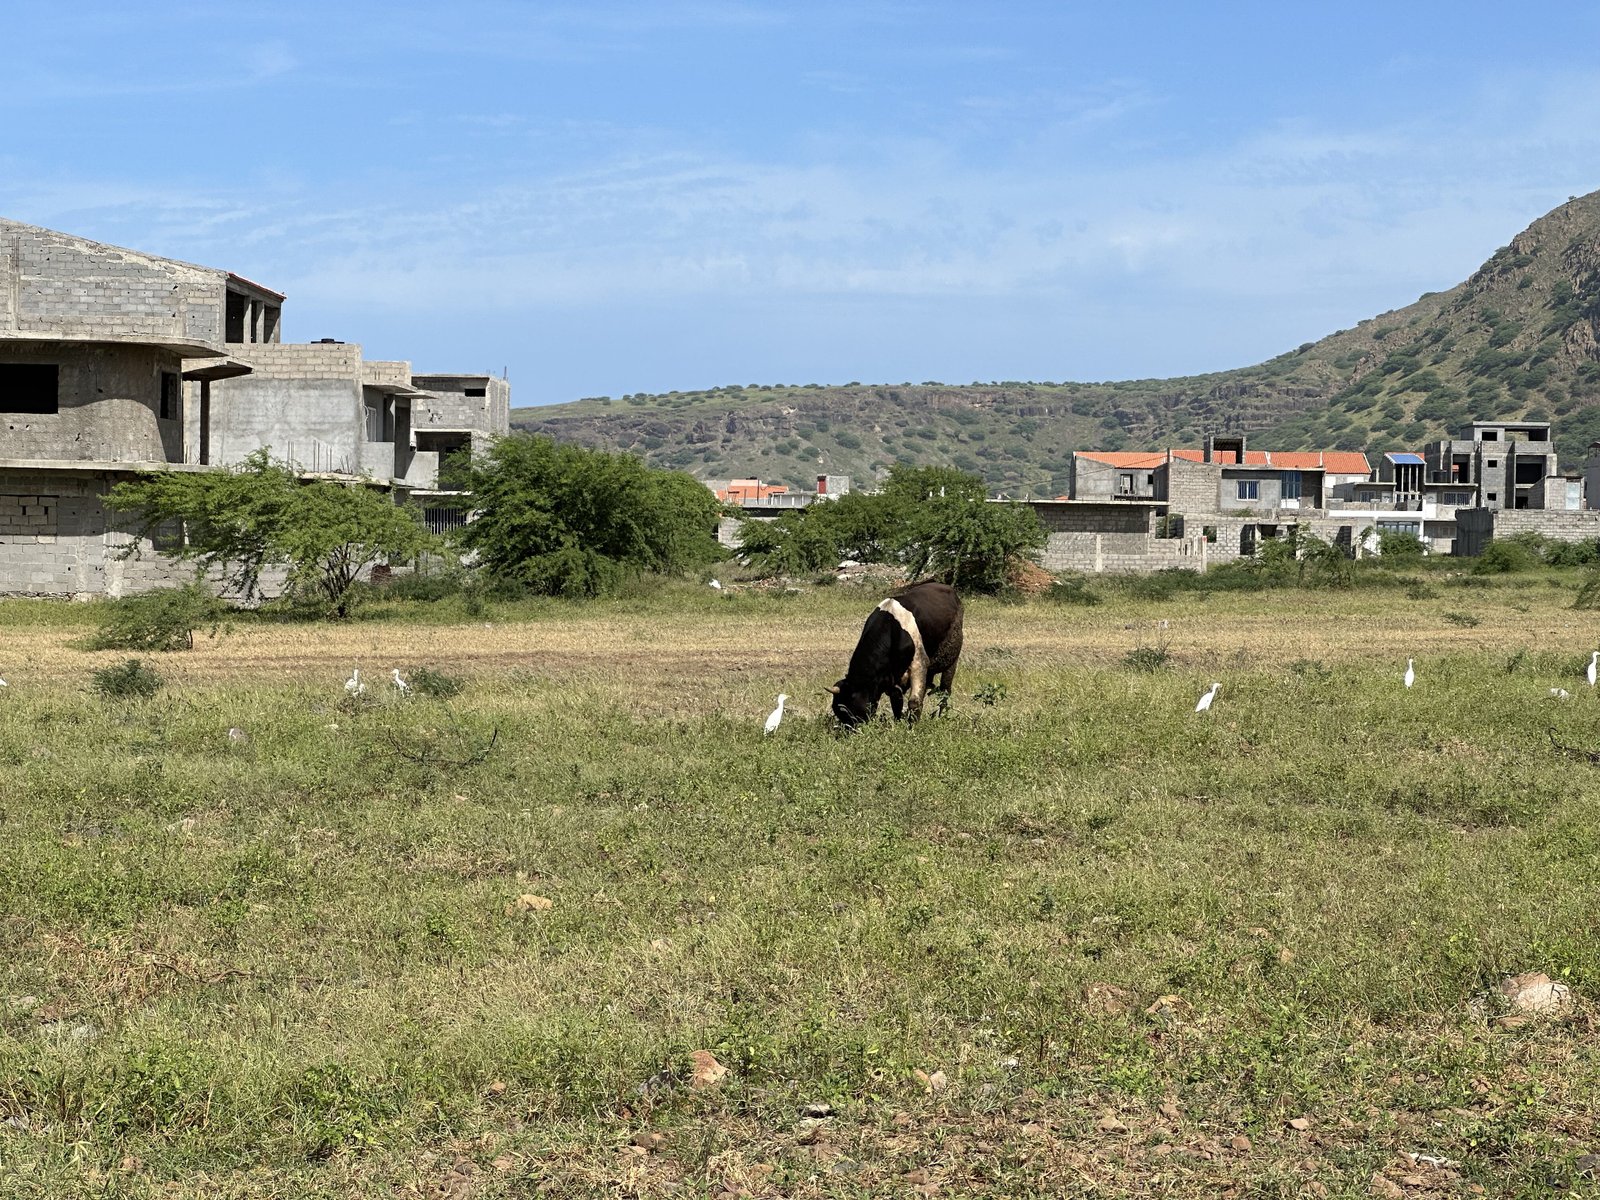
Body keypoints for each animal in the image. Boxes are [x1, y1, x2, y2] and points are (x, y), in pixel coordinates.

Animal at [830, 580, 964, 729]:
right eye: (837, 711)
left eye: (849, 709)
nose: (848, 730)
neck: (892, 628)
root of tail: (948, 589)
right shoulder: (892, 677)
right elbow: (896, 702)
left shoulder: (919, 664)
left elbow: (914, 702)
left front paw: (912, 728)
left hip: (952, 660)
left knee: (945, 691)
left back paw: (941, 716)